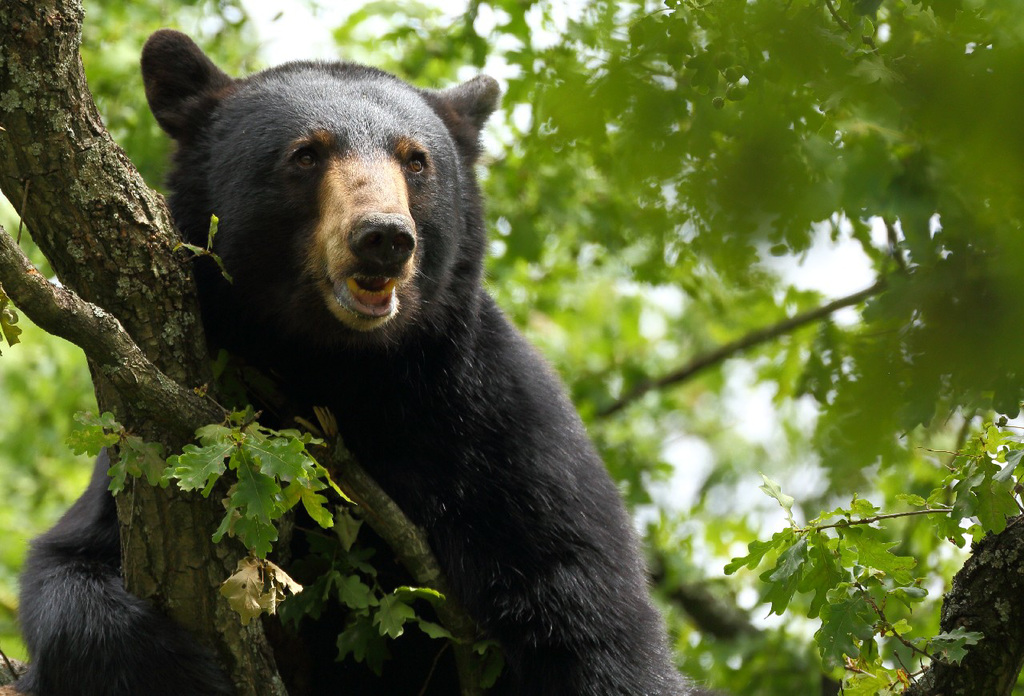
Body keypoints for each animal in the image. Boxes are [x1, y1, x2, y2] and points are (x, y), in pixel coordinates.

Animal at [16, 29, 700, 696]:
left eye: (415, 159)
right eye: (306, 154)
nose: (384, 236)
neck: (344, 368)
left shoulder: (508, 438)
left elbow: (595, 624)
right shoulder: (151, 445)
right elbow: (70, 566)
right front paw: (179, 667)